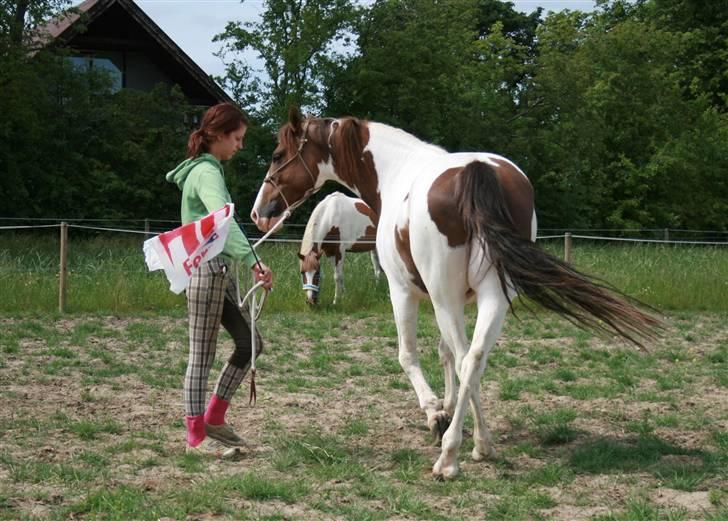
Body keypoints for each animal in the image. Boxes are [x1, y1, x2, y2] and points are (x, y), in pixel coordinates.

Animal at [250, 109, 660, 480]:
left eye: (277, 154)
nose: (258, 212)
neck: (395, 171)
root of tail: (476, 170)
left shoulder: (405, 292)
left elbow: (409, 355)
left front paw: (436, 414)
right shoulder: (457, 301)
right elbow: (448, 355)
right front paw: (461, 422)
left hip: (445, 297)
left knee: (465, 358)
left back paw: (449, 459)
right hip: (492, 297)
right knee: (473, 359)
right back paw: (478, 445)